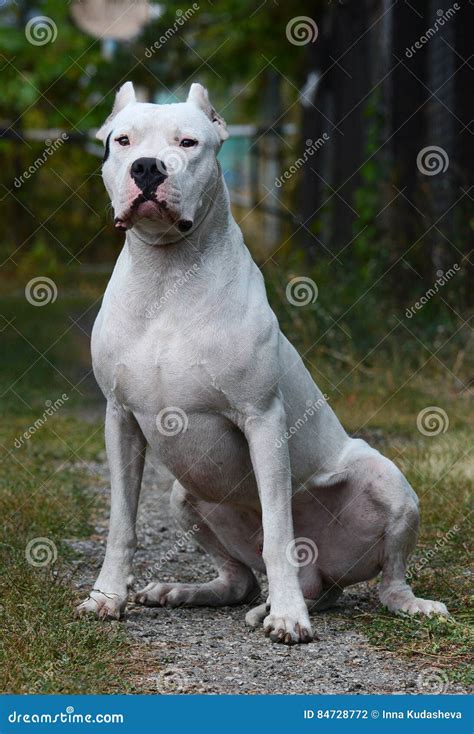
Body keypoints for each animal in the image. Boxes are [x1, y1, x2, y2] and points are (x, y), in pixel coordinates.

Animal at [78, 80, 448, 644]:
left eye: (188, 143)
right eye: (122, 140)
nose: (147, 167)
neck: (167, 276)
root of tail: (324, 577)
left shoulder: (263, 419)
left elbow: (278, 531)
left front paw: (289, 617)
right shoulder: (120, 419)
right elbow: (122, 523)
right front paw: (107, 597)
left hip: (387, 480)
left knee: (385, 581)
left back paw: (382, 604)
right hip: (184, 496)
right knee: (240, 580)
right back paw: (188, 592)